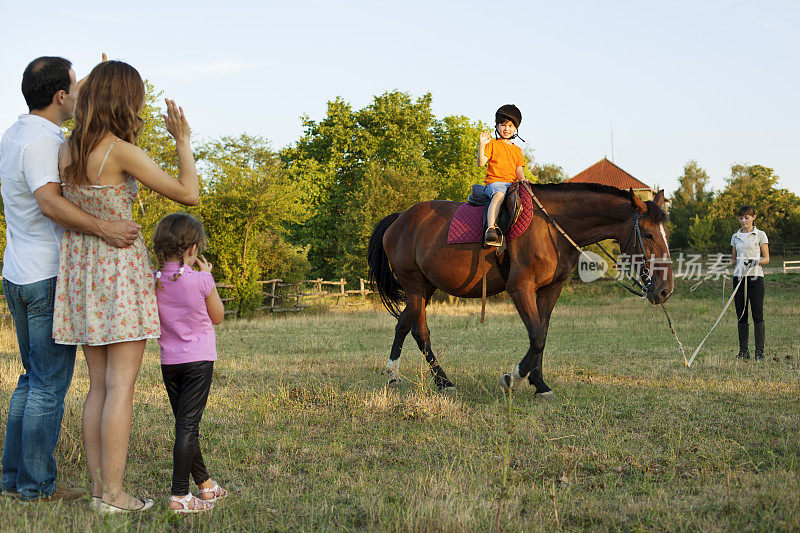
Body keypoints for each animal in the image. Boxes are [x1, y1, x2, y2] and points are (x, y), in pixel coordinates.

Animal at [368, 183, 676, 394]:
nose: (664, 290)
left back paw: (393, 373)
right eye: (648, 234)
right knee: (421, 332)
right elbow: (536, 336)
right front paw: (514, 378)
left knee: (403, 325)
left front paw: (539, 383)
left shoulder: (551, 289)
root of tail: (400, 219)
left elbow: (542, 333)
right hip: (413, 284)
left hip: (426, 286)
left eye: (665, 234)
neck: (553, 228)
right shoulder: (520, 288)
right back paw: (444, 381)